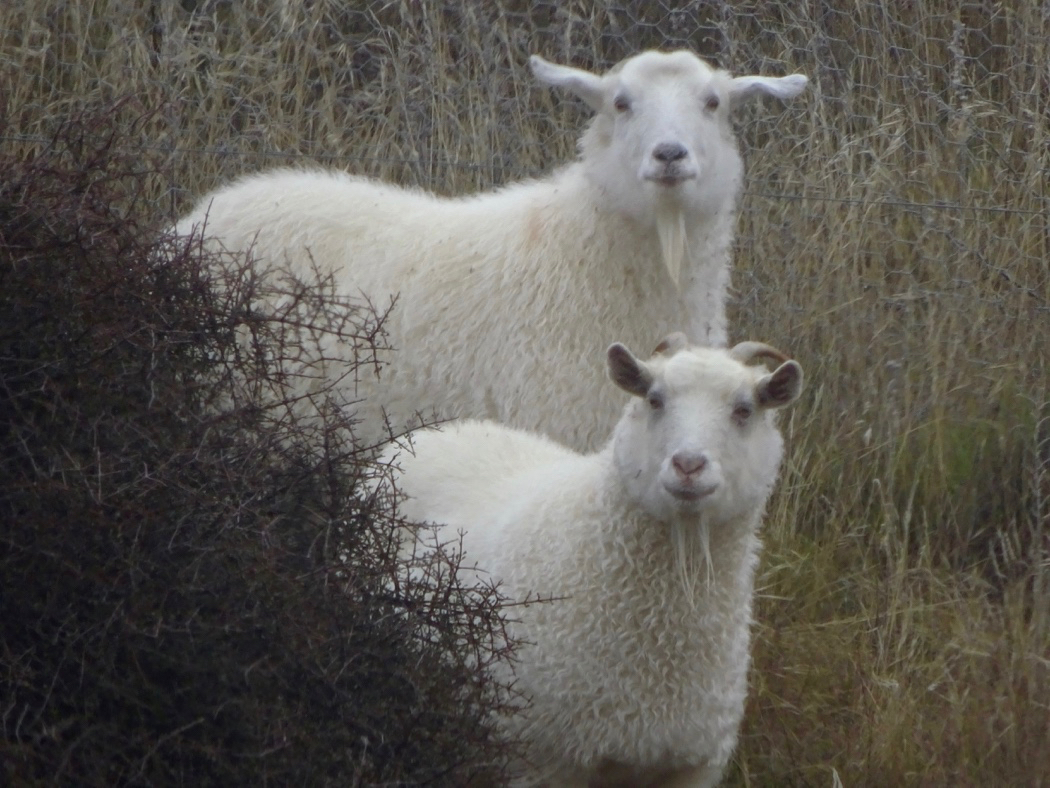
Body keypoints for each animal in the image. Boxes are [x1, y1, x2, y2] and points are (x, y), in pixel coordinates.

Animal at [382, 334, 806, 788]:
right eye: (654, 399)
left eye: (745, 409)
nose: (688, 465)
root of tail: (439, 430)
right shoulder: (541, 763)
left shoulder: (691, 769)